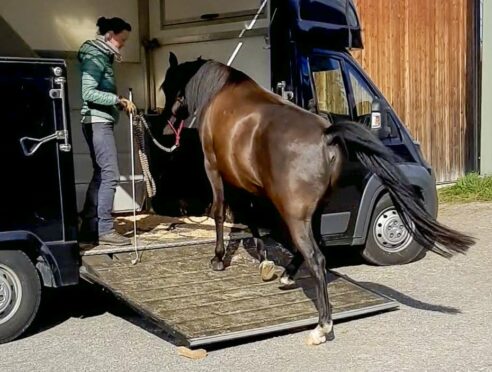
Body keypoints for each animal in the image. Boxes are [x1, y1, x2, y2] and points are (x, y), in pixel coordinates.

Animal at [162, 52, 476, 346]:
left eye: (167, 85)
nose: (166, 126)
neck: (222, 93)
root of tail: (327, 135)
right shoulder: (244, 182)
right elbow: (251, 217)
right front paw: (264, 260)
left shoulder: (215, 169)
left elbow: (220, 212)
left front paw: (218, 258)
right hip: (314, 211)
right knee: (314, 250)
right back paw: (288, 277)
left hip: (294, 215)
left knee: (316, 257)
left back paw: (322, 326)